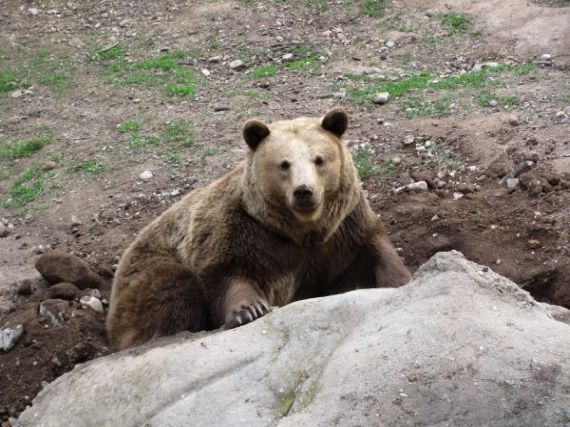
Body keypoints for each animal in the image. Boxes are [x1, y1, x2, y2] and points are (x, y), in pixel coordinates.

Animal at [105, 108, 408, 352]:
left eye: (319, 159)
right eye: (284, 163)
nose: (304, 191)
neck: (302, 229)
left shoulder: (343, 228)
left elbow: (375, 251)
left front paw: (400, 279)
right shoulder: (245, 231)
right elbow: (230, 273)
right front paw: (249, 310)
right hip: (148, 268)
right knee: (171, 291)